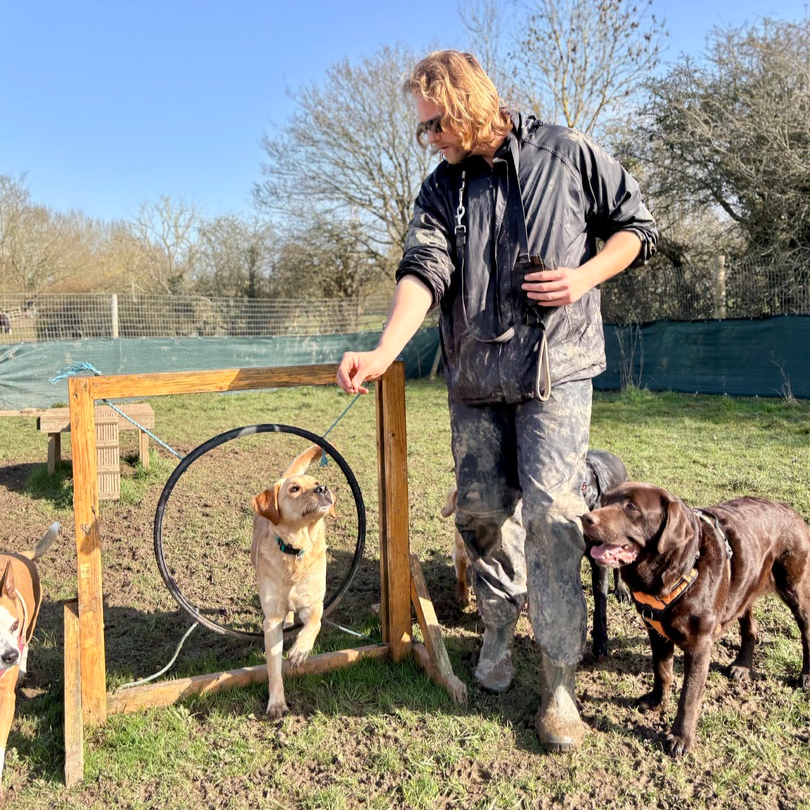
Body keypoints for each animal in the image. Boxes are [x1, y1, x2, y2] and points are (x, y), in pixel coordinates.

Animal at [251, 445, 335, 719]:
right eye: (294, 489)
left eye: (316, 483)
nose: (323, 488)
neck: (296, 550)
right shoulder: (272, 619)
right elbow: (273, 666)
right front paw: (276, 703)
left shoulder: (314, 603)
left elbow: (314, 623)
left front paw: (300, 651)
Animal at [582, 483, 810, 757]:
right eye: (605, 500)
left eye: (631, 507)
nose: (585, 518)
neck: (676, 571)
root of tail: (788, 508)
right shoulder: (656, 631)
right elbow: (662, 671)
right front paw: (656, 702)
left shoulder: (700, 644)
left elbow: (689, 694)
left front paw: (681, 738)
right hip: (745, 587)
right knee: (750, 626)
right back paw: (742, 666)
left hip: (795, 588)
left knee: (806, 631)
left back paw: (806, 676)